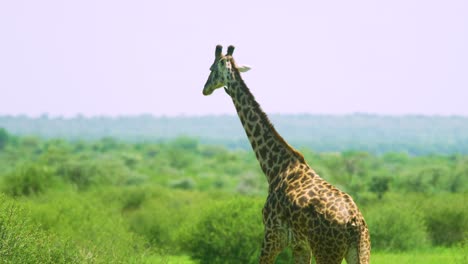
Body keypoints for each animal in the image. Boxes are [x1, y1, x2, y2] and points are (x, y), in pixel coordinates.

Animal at [203, 44, 372, 262]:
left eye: (211, 69)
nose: (205, 89)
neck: (274, 168)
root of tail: (354, 222)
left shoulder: (273, 234)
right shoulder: (300, 245)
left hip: (327, 251)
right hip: (360, 249)